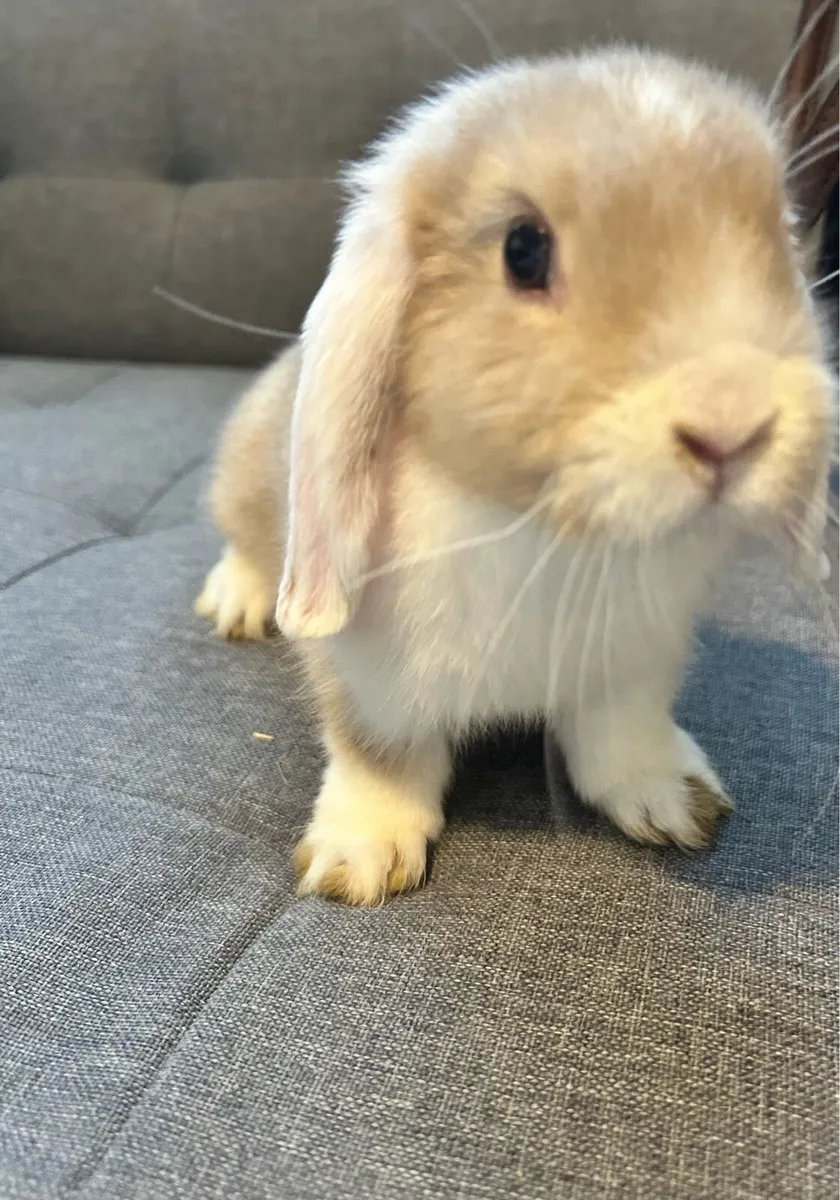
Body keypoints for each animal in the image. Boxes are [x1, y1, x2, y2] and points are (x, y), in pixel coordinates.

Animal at [195, 49, 832, 906]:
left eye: (784, 232)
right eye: (523, 250)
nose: (734, 423)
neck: (543, 530)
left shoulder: (634, 666)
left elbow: (621, 739)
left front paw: (679, 801)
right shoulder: (368, 682)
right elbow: (380, 759)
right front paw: (359, 862)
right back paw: (237, 601)